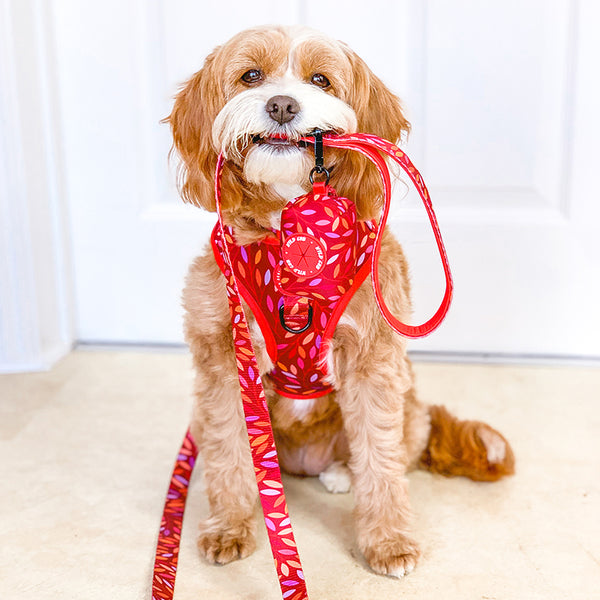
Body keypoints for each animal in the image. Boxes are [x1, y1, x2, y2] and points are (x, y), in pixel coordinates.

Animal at [166, 24, 512, 580]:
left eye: (321, 80)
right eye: (251, 76)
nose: (282, 105)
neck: (295, 225)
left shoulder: (373, 360)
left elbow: (381, 461)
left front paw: (388, 540)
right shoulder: (223, 358)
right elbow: (230, 451)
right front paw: (230, 526)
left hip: (408, 408)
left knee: (384, 453)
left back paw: (341, 474)